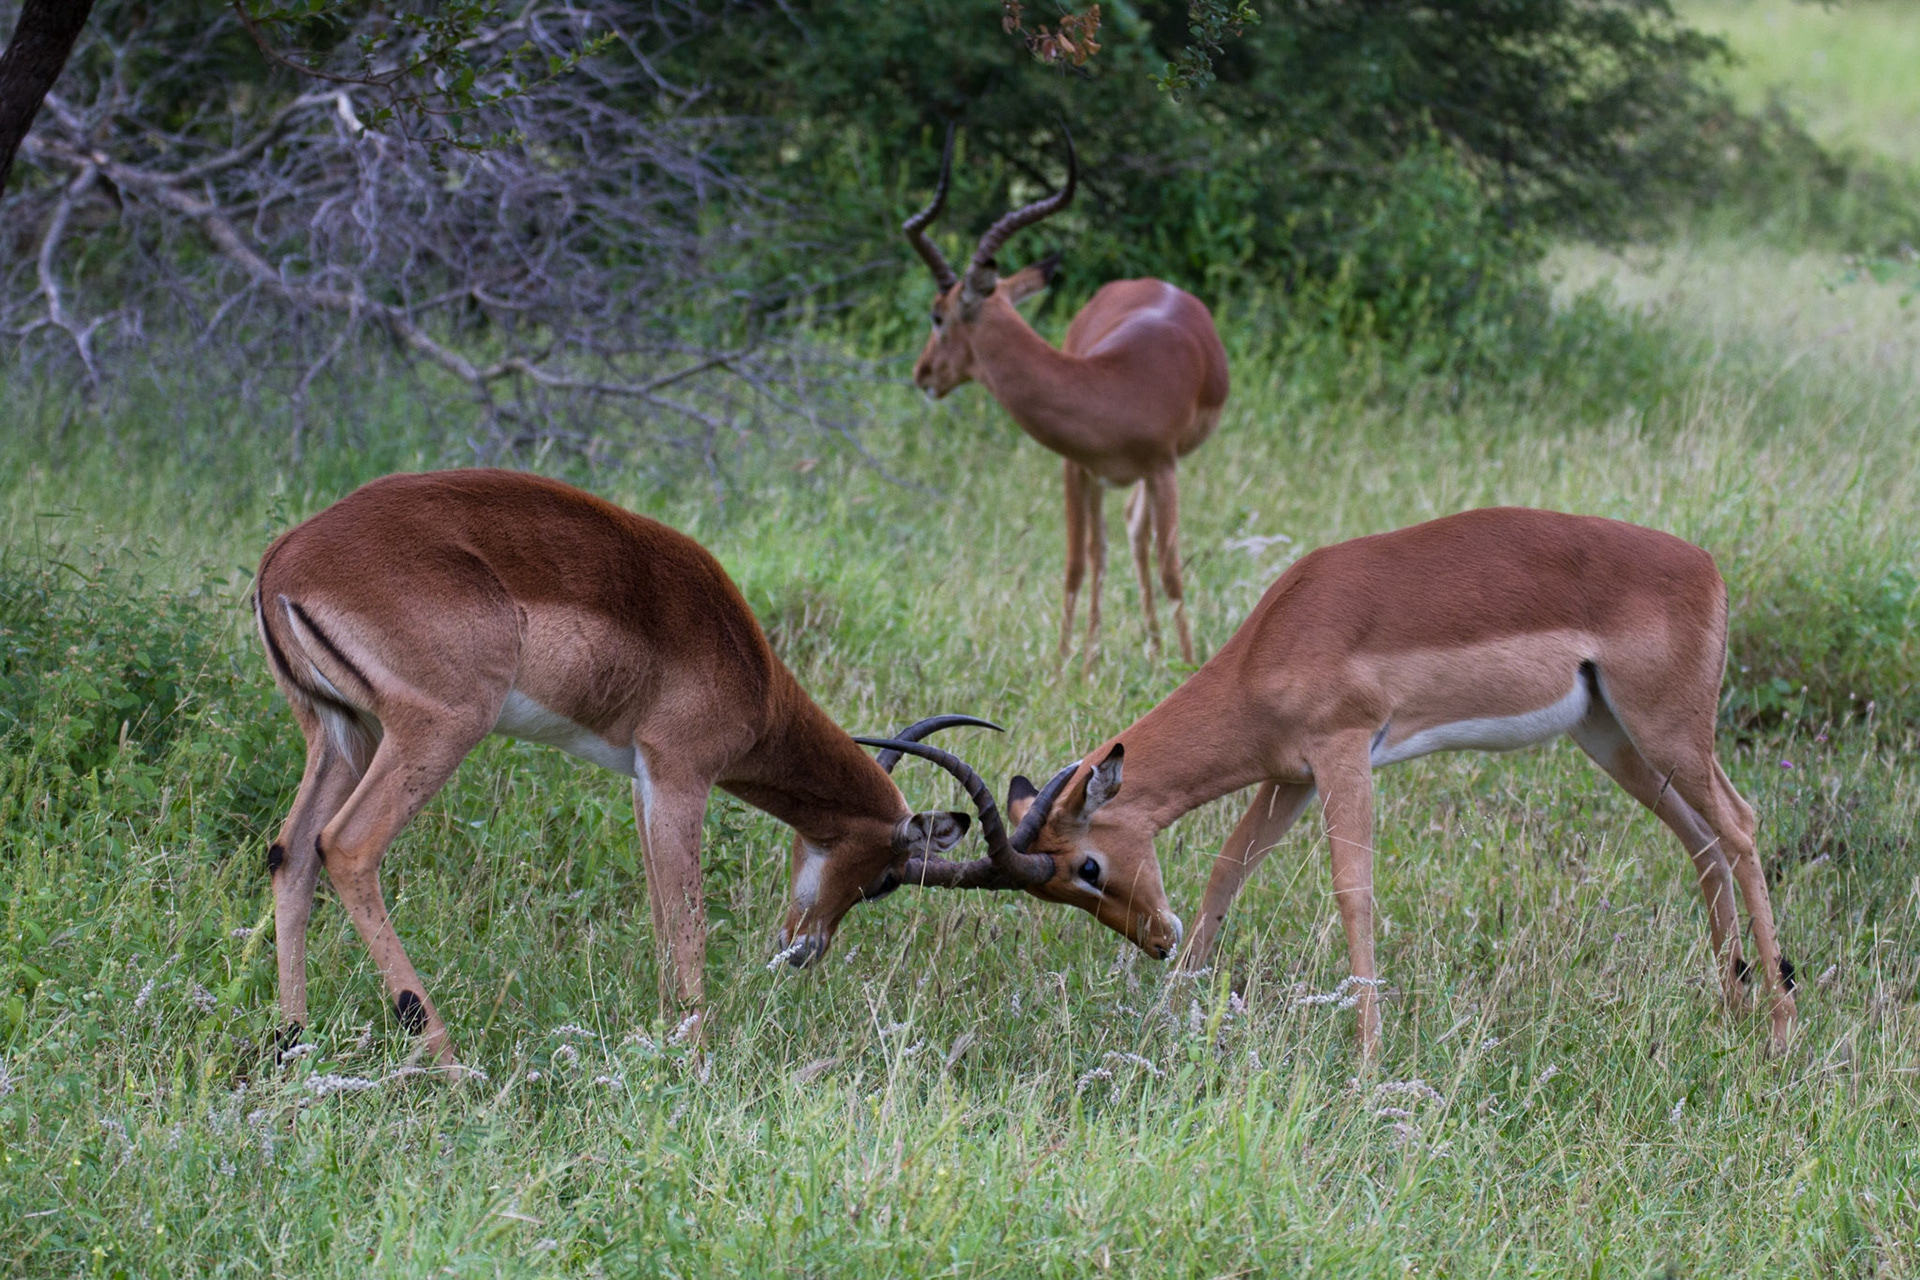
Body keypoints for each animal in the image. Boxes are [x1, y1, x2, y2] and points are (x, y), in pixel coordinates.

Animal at [253, 468, 1015, 1069]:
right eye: (886, 881)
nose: (804, 951)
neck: (753, 674)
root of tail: (282, 561)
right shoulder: (681, 773)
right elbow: (688, 919)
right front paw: (697, 1054)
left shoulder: (643, 781)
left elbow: (658, 913)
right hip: (436, 729)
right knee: (346, 847)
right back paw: (447, 1057)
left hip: (342, 732)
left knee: (292, 850)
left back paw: (294, 1040)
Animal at [863, 508, 1799, 1057]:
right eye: (1054, 887)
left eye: (1088, 866)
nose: (1154, 940)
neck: (1274, 641)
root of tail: (1706, 566)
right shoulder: (1292, 777)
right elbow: (1226, 872)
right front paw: (1167, 1018)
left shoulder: (1347, 752)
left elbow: (1354, 890)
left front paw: (1367, 1062)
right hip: (1612, 737)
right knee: (1702, 842)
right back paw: (1731, 1011)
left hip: (1668, 729)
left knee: (1743, 825)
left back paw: (1782, 1031)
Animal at [904, 126, 1230, 668]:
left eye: (937, 314)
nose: (922, 373)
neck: (1113, 387)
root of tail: (1153, 282)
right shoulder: (1076, 467)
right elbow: (1079, 563)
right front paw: (1065, 670)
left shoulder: (1163, 467)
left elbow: (1171, 569)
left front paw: (1188, 666)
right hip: (1105, 480)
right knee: (1114, 543)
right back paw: (1124, 652)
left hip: (1151, 475)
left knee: (1139, 537)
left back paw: (1158, 651)